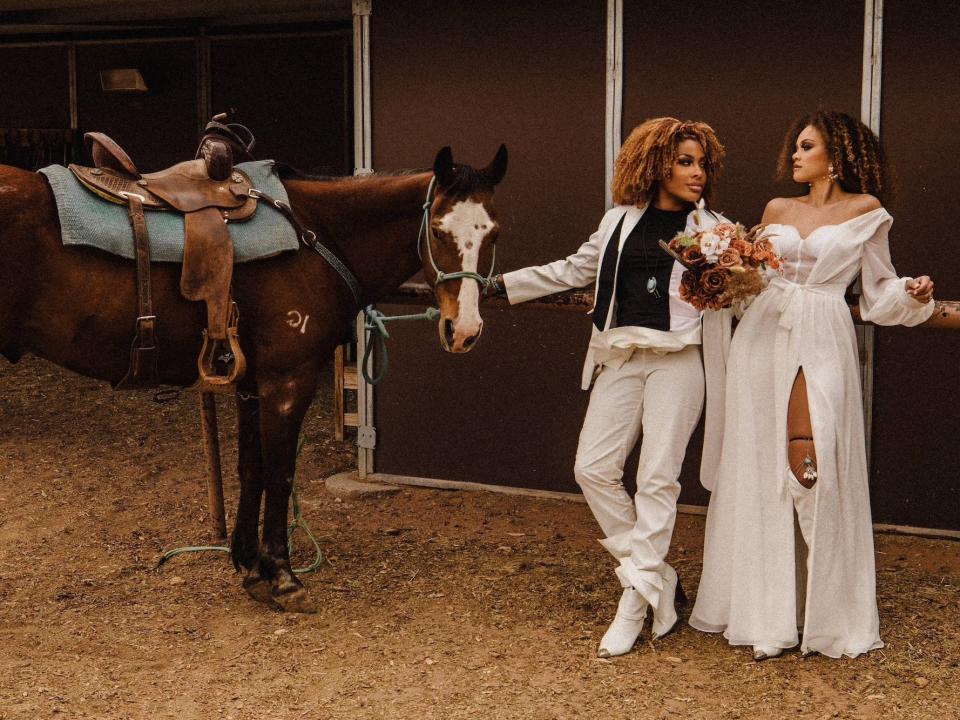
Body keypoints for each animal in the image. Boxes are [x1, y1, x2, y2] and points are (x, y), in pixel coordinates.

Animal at [0, 143, 506, 612]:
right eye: (438, 229)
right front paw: (282, 576)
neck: (315, 237)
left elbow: (251, 469)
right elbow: (280, 473)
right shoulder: (287, 380)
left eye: (494, 232)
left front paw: (249, 565)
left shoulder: (250, 385)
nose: (463, 330)